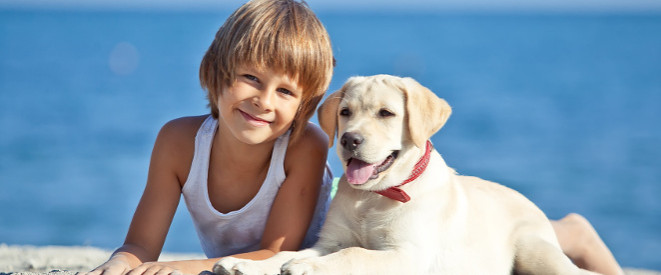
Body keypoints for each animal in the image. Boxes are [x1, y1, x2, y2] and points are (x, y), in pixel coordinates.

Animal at [213, 75, 600, 275]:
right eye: (345, 112)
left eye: (386, 113)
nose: (349, 140)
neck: (374, 196)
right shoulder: (328, 242)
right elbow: (287, 254)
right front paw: (244, 265)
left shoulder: (408, 254)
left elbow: (356, 254)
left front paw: (309, 269)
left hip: (535, 250)